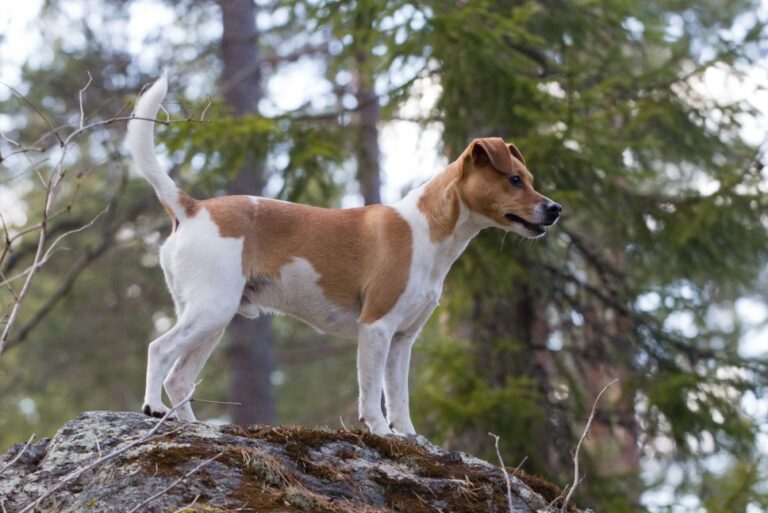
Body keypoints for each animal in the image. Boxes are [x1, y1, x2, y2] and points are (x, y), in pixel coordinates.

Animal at [124, 76, 560, 434]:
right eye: (514, 180)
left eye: (529, 179)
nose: (555, 209)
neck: (428, 232)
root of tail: (192, 207)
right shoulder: (376, 327)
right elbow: (371, 394)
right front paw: (382, 433)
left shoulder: (402, 340)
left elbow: (398, 397)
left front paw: (409, 438)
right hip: (211, 310)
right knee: (158, 350)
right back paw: (152, 407)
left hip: (212, 319)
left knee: (180, 377)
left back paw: (191, 425)